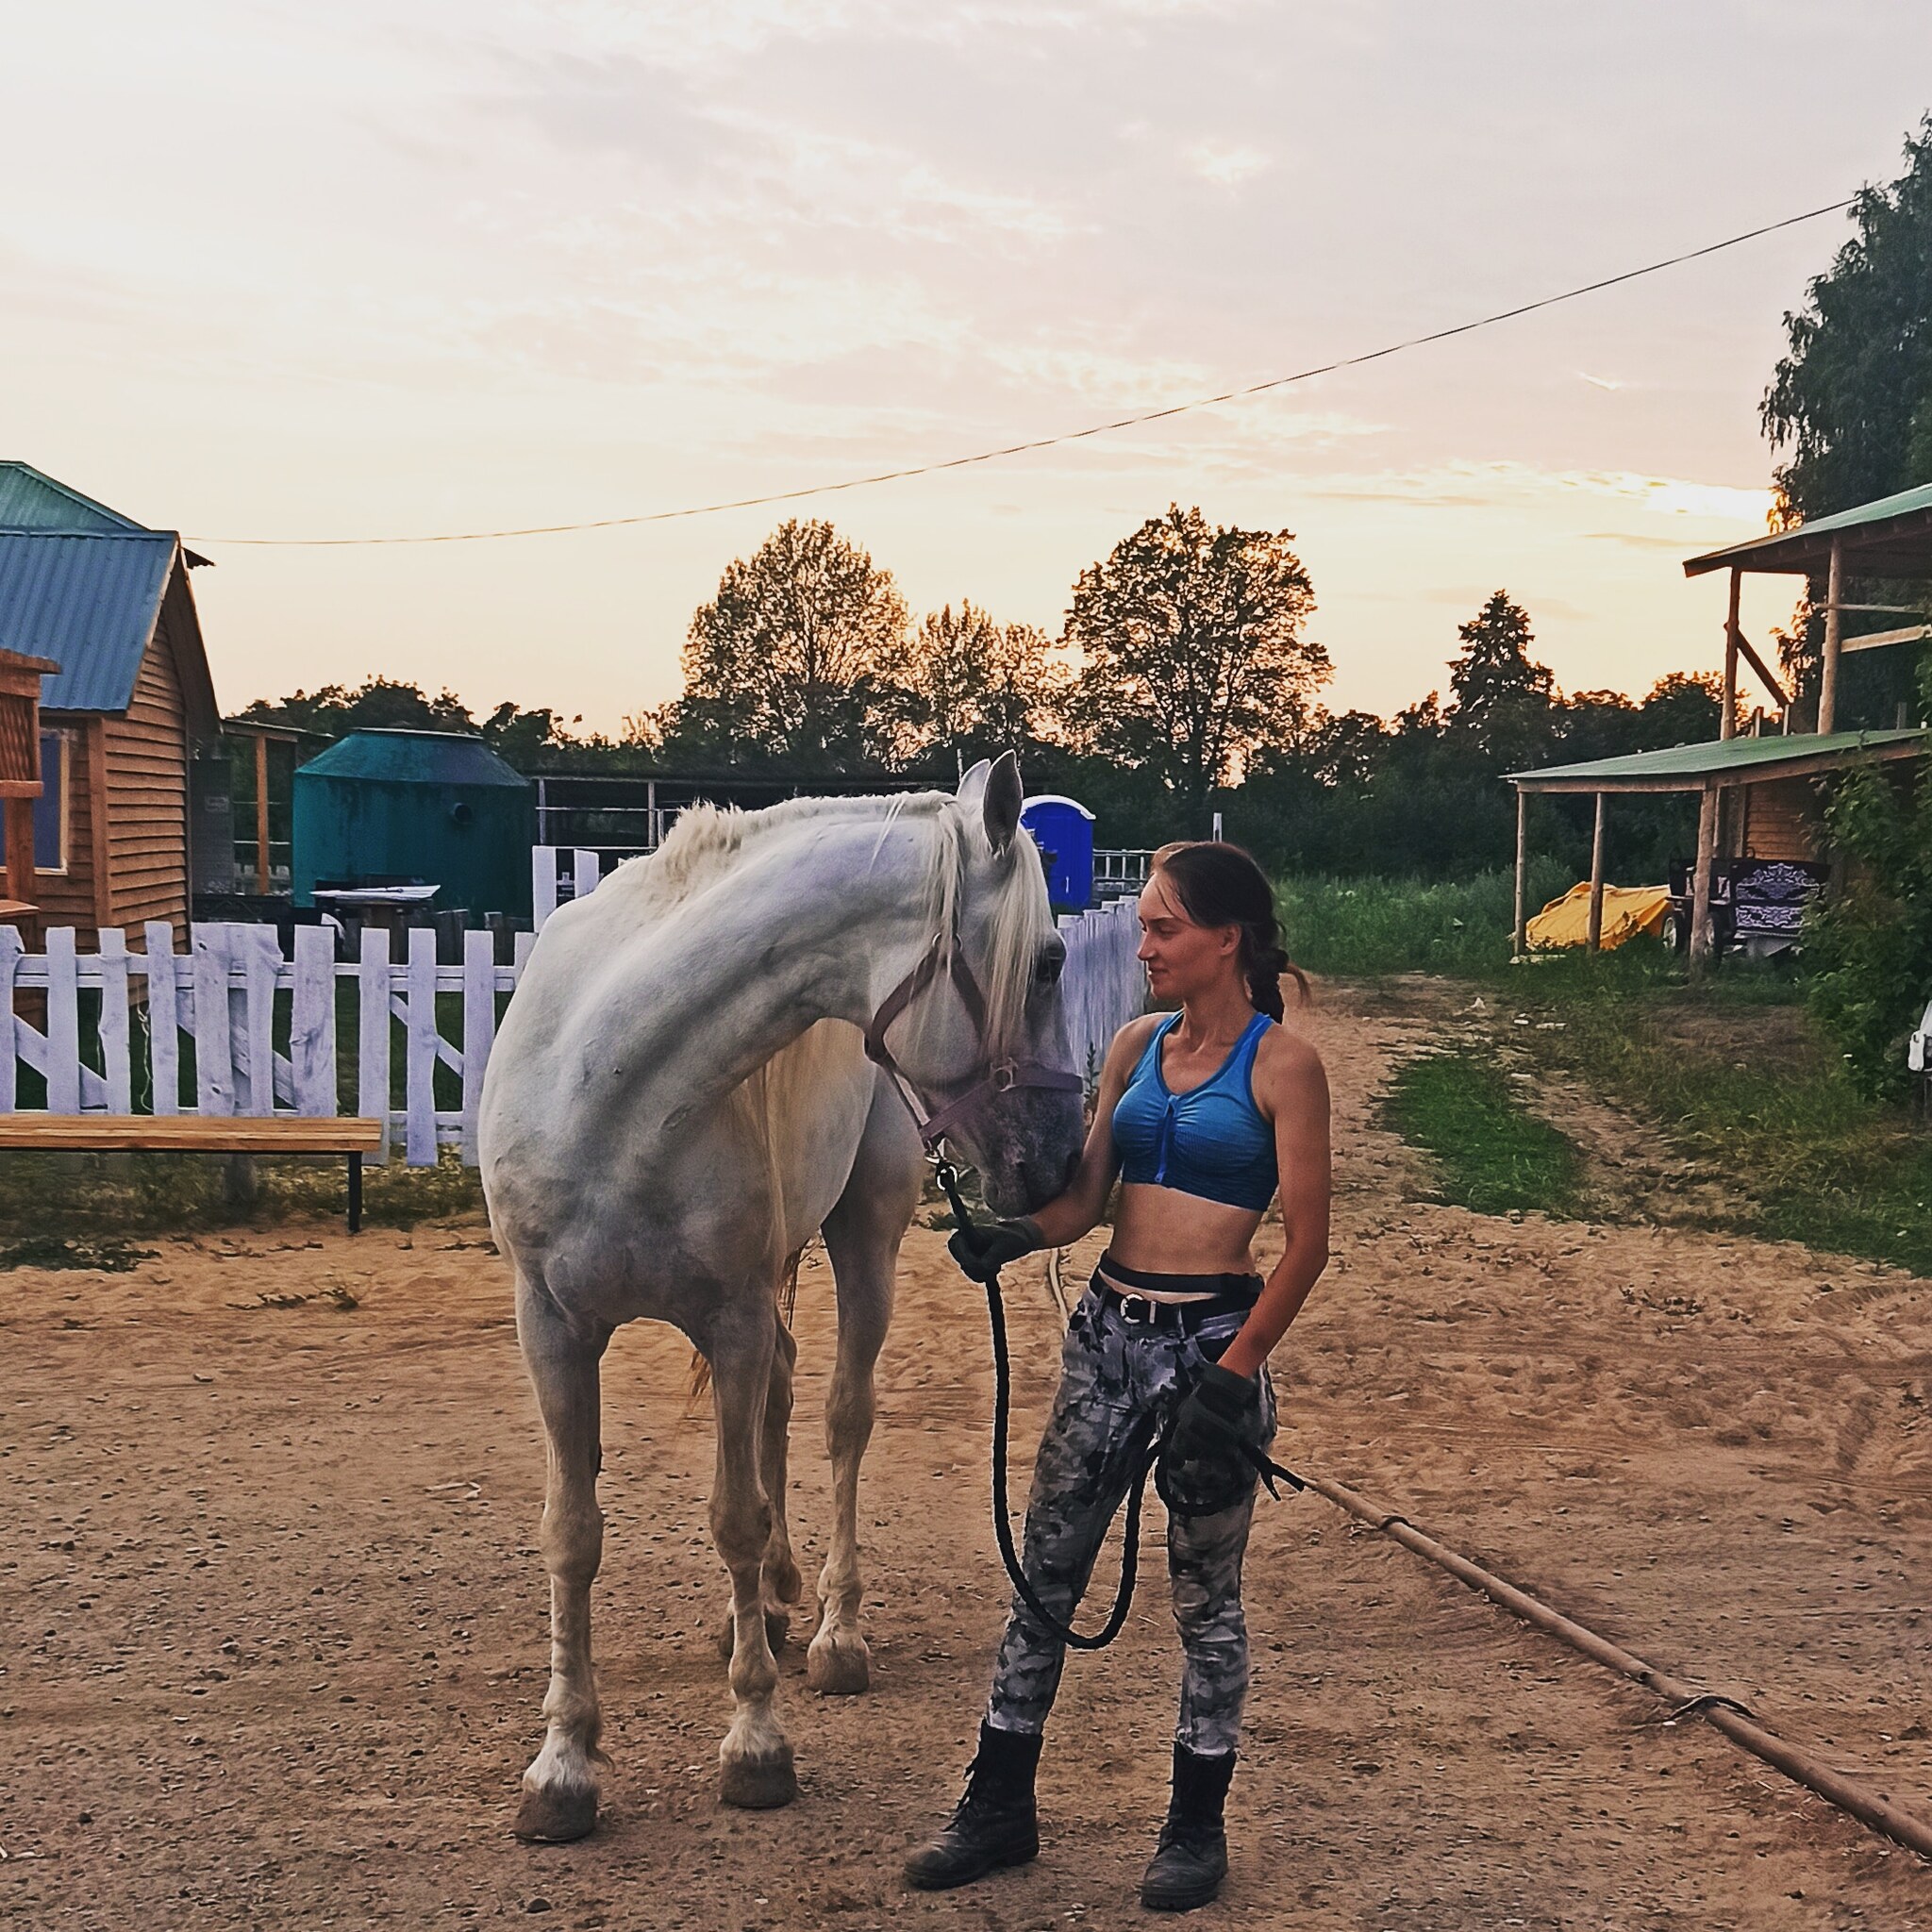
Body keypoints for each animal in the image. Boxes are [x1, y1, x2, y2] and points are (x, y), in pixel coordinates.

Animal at [478, 745, 1090, 1831]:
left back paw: (832, 1631)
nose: (1063, 1158)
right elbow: (572, 1531)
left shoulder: (729, 1318)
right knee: (780, 1399)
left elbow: (736, 1514)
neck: (612, 1083)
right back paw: (763, 1604)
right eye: (1051, 960)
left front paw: (755, 1743)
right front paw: (562, 1763)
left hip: (860, 1240)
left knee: (841, 1415)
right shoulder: (552, 1327)